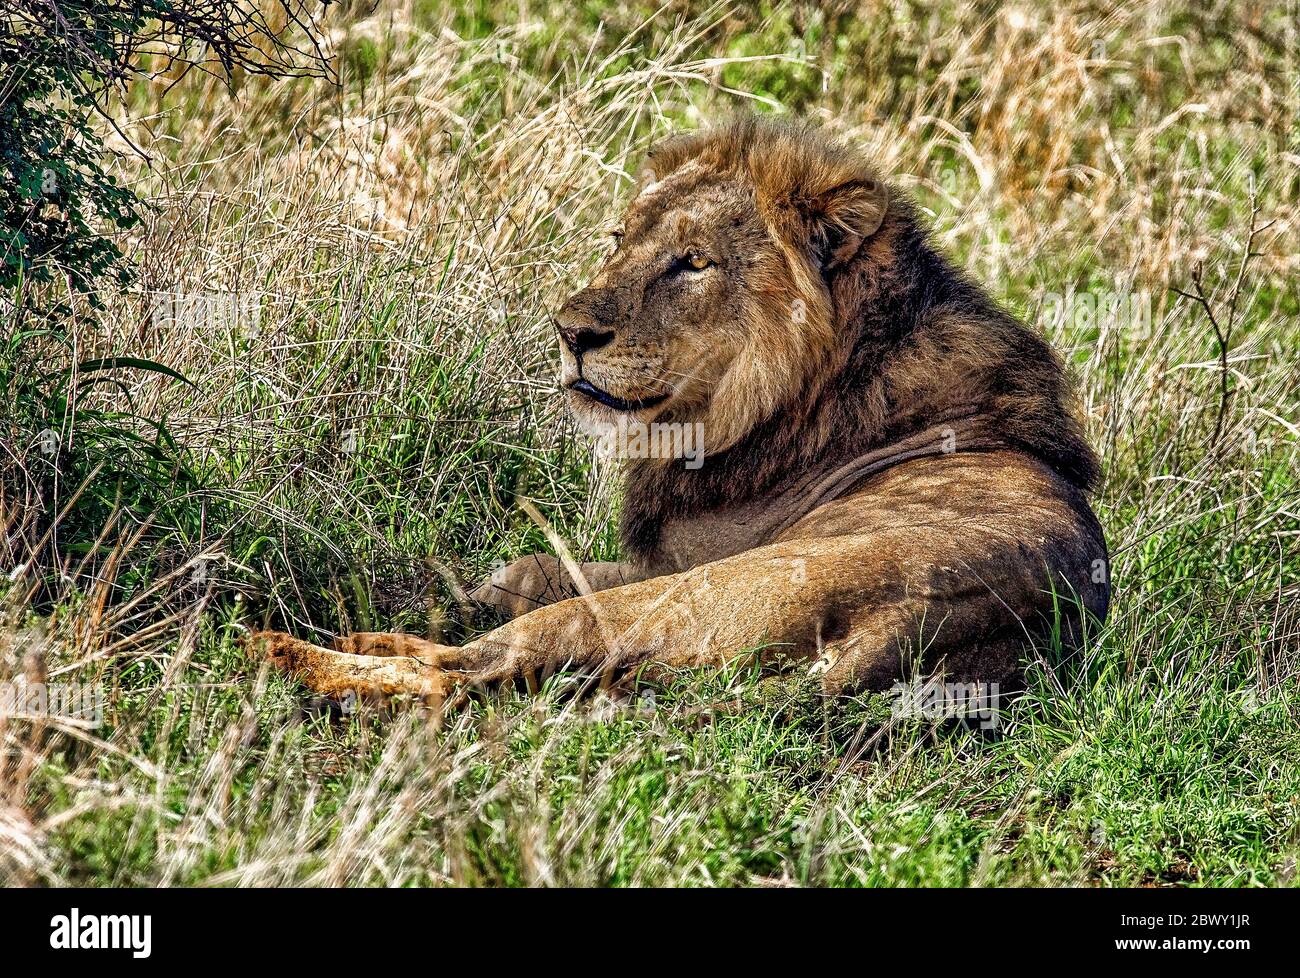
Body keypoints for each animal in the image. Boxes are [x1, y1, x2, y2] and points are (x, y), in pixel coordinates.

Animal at [252, 117, 1109, 710]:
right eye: (618, 239)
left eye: (694, 262)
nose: (570, 332)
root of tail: (930, 628)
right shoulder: (664, 558)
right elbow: (535, 567)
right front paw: (478, 583)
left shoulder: (685, 564)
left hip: (697, 596)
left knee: (470, 670)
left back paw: (288, 649)